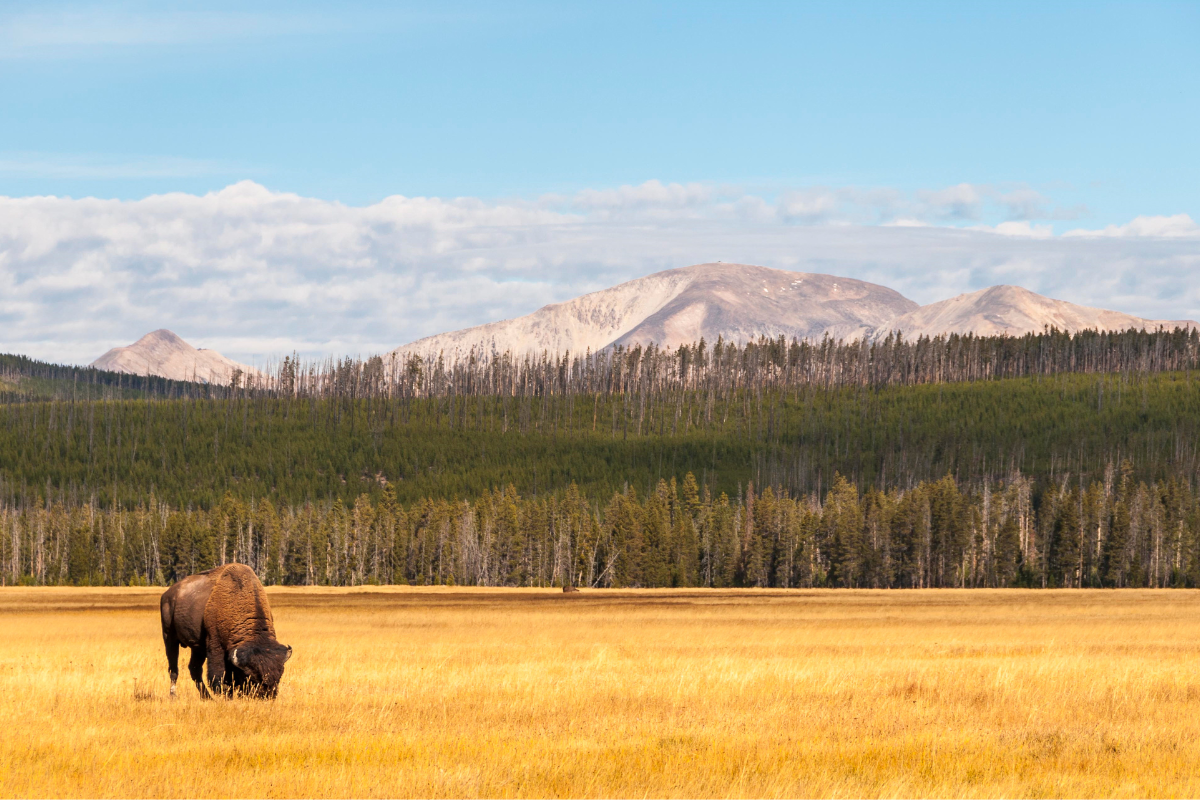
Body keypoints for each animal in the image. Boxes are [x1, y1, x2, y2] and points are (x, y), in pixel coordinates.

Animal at [160, 563, 291, 700]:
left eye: (280, 674)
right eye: (249, 676)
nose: (266, 695)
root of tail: (167, 595)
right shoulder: (216, 645)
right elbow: (219, 676)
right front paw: (226, 695)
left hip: (197, 648)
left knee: (194, 669)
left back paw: (207, 697)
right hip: (169, 637)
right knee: (173, 669)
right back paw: (173, 695)